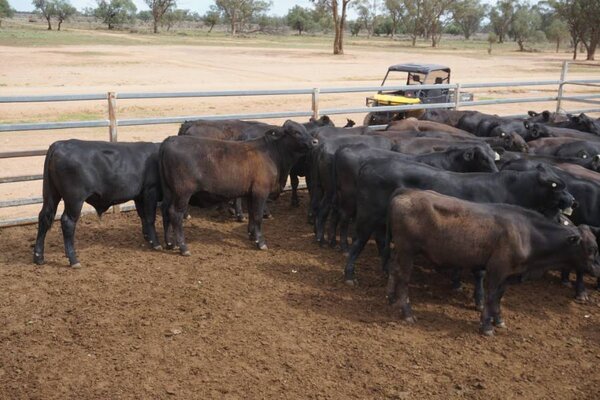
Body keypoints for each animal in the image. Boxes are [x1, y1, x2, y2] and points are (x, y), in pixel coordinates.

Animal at [33, 139, 161, 268]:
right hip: (74, 199)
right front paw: (155, 243)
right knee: (67, 222)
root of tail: (59, 144)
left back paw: (38, 257)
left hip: (51, 194)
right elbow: (150, 217)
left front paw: (147, 237)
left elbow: (143, 216)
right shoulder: (151, 189)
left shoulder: (139, 196)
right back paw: (74, 260)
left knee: (44, 217)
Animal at [159, 120, 318, 255]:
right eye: (295, 132)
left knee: (166, 211)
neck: (272, 153)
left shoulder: (250, 193)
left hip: (169, 192)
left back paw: (170, 243)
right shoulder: (260, 192)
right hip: (182, 192)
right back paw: (183, 247)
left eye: (305, 129)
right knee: (175, 214)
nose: (315, 141)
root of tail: (169, 140)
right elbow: (258, 216)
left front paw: (252, 235)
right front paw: (261, 242)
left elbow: (252, 215)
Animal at [330, 144, 500, 250]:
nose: (496, 171)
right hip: (349, 196)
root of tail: (346, 148)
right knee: (344, 216)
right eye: (483, 158)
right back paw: (344, 246)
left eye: (493, 157)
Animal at [384, 189, 600, 336]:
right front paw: (487, 326)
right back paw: (407, 312)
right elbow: (490, 296)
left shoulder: (508, 273)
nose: (598, 270)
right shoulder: (497, 269)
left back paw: (391, 299)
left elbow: (499, 296)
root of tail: (406, 192)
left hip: (400, 251)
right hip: (407, 251)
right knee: (403, 279)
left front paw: (499, 320)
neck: (528, 234)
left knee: (394, 270)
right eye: (590, 248)